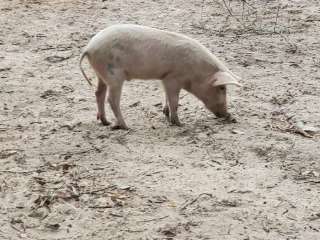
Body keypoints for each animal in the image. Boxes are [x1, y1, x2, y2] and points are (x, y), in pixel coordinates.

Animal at [79, 23, 240, 129]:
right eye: (222, 88)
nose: (228, 115)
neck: (196, 71)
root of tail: (89, 48)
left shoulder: (165, 78)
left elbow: (167, 97)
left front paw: (166, 114)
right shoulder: (173, 78)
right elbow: (174, 100)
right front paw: (180, 124)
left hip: (101, 74)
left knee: (98, 93)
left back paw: (105, 122)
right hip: (114, 76)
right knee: (111, 100)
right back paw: (126, 126)